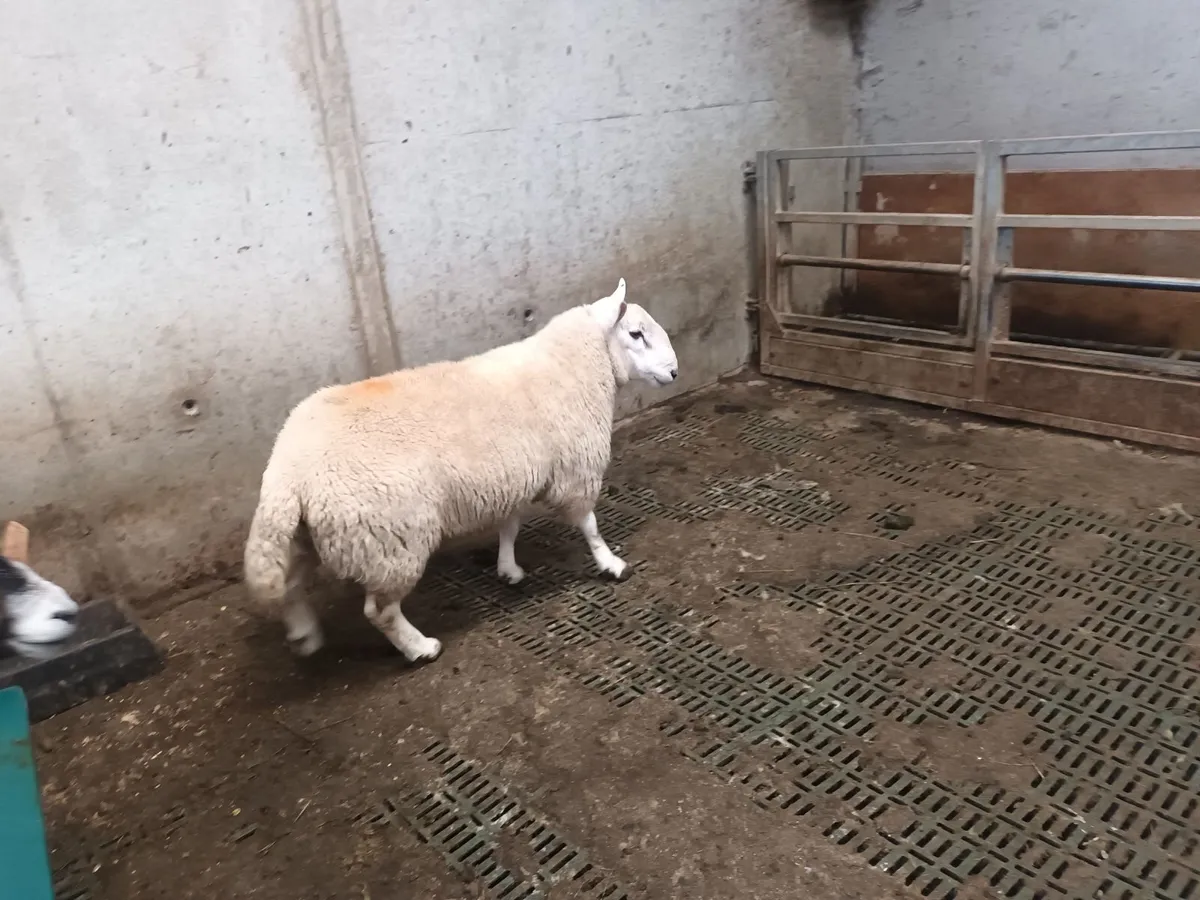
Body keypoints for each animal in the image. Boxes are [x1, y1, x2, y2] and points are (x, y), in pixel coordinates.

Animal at [243, 278, 679, 664]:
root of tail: (287, 469)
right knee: (380, 611)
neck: (572, 366)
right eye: (636, 334)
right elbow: (588, 524)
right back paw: (420, 648)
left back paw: (305, 635)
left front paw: (508, 568)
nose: (675, 372)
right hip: (391, 540)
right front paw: (611, 564)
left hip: (302, 536)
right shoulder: (575, 470)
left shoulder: (516, 475)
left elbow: (510, 525)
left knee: (289, 585)